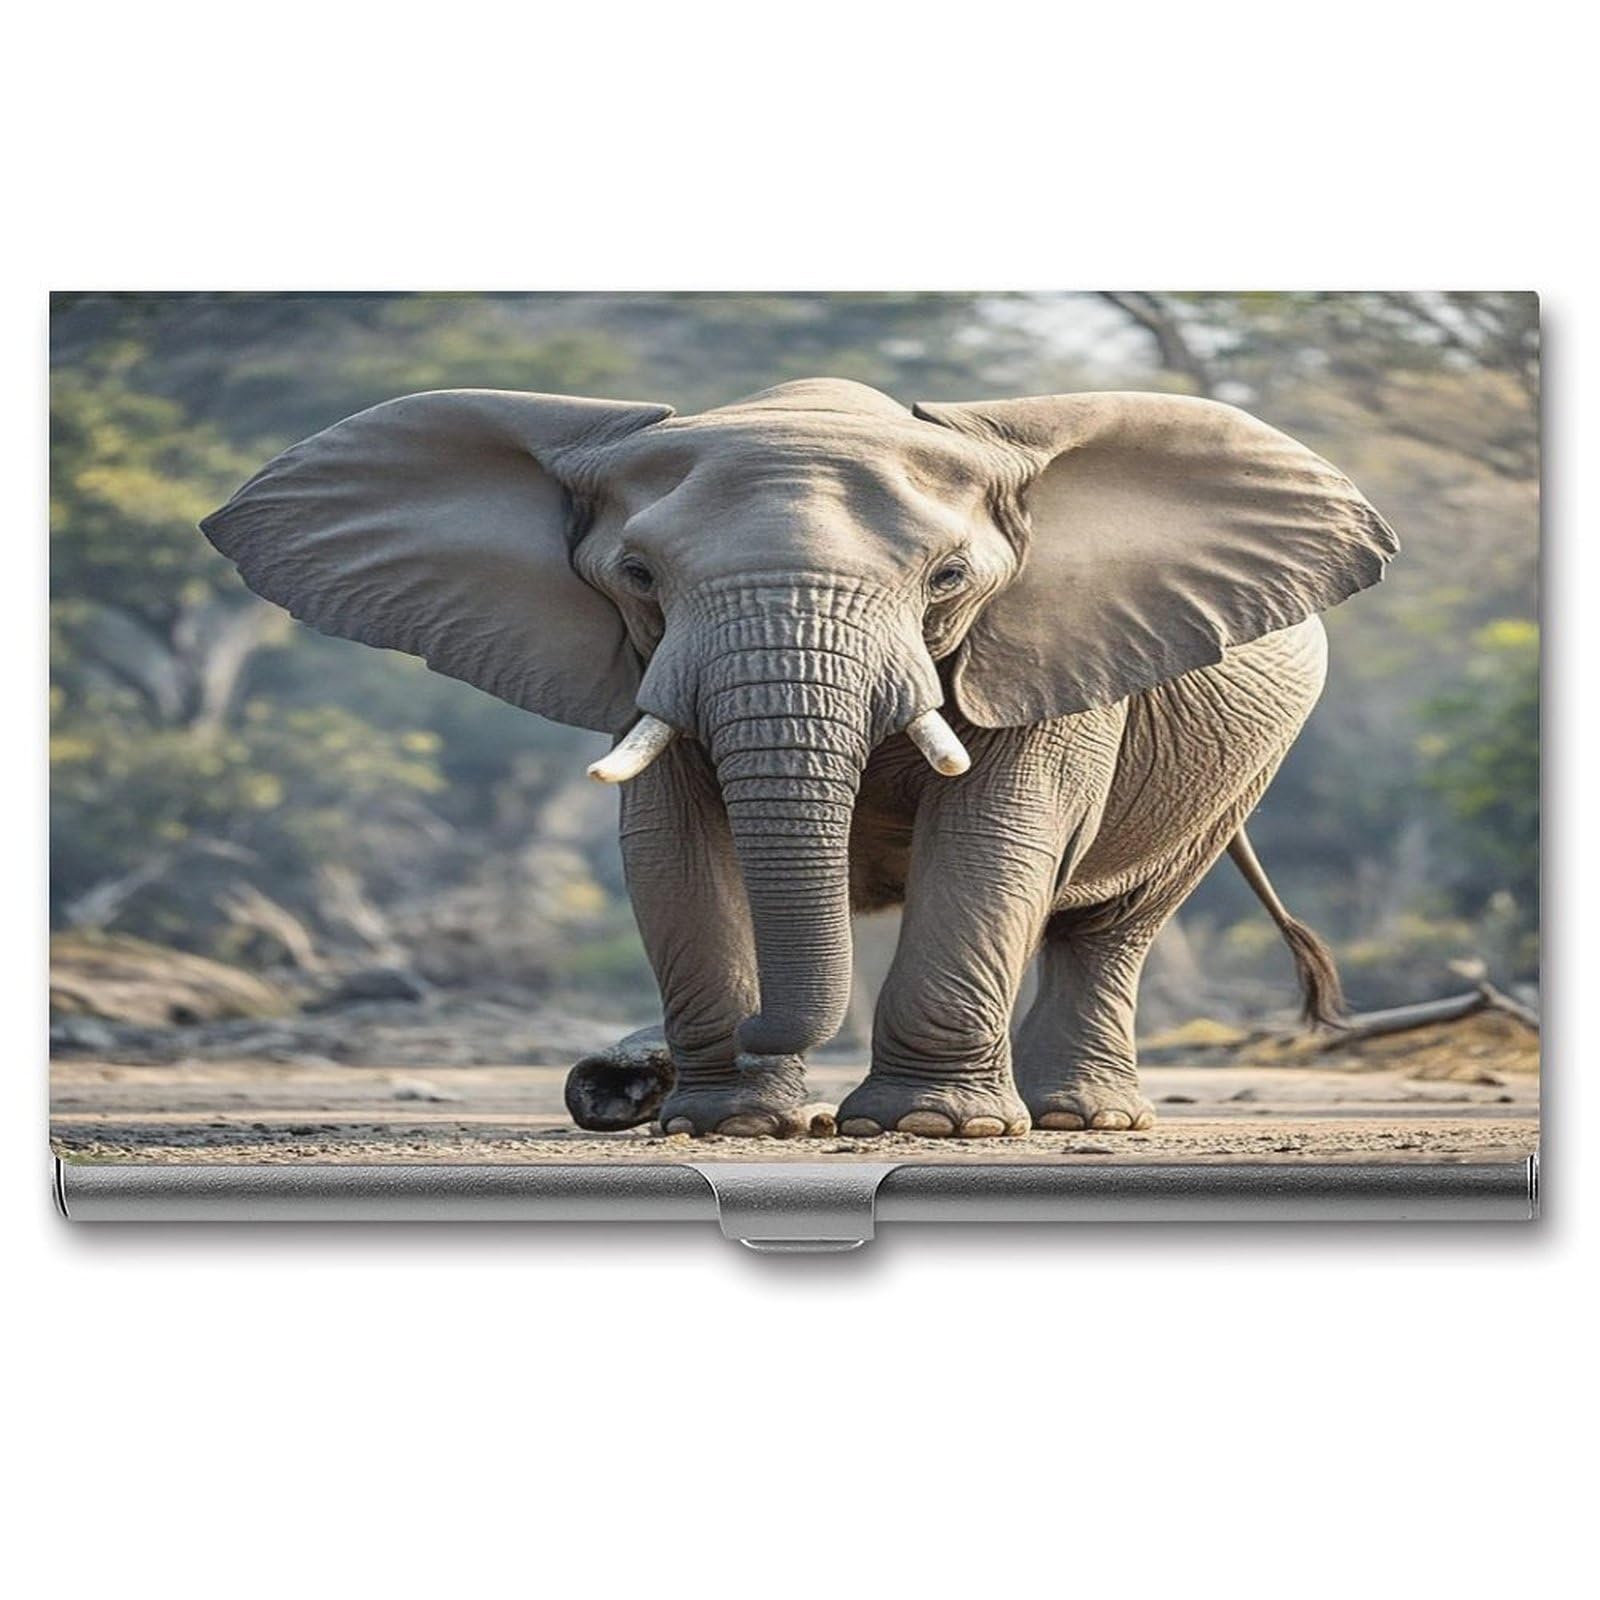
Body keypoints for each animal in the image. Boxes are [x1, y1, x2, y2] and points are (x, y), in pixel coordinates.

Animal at [201, 377, 1397, 1139]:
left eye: (950, 578)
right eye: (638, 574)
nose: (618, 1073)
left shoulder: (1040, 651)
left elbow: (997, 835)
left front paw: (931, 1127)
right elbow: (671, 845)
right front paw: (731, 1125)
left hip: (1241, 762)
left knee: (1112, 924)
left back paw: (1080, 1116)